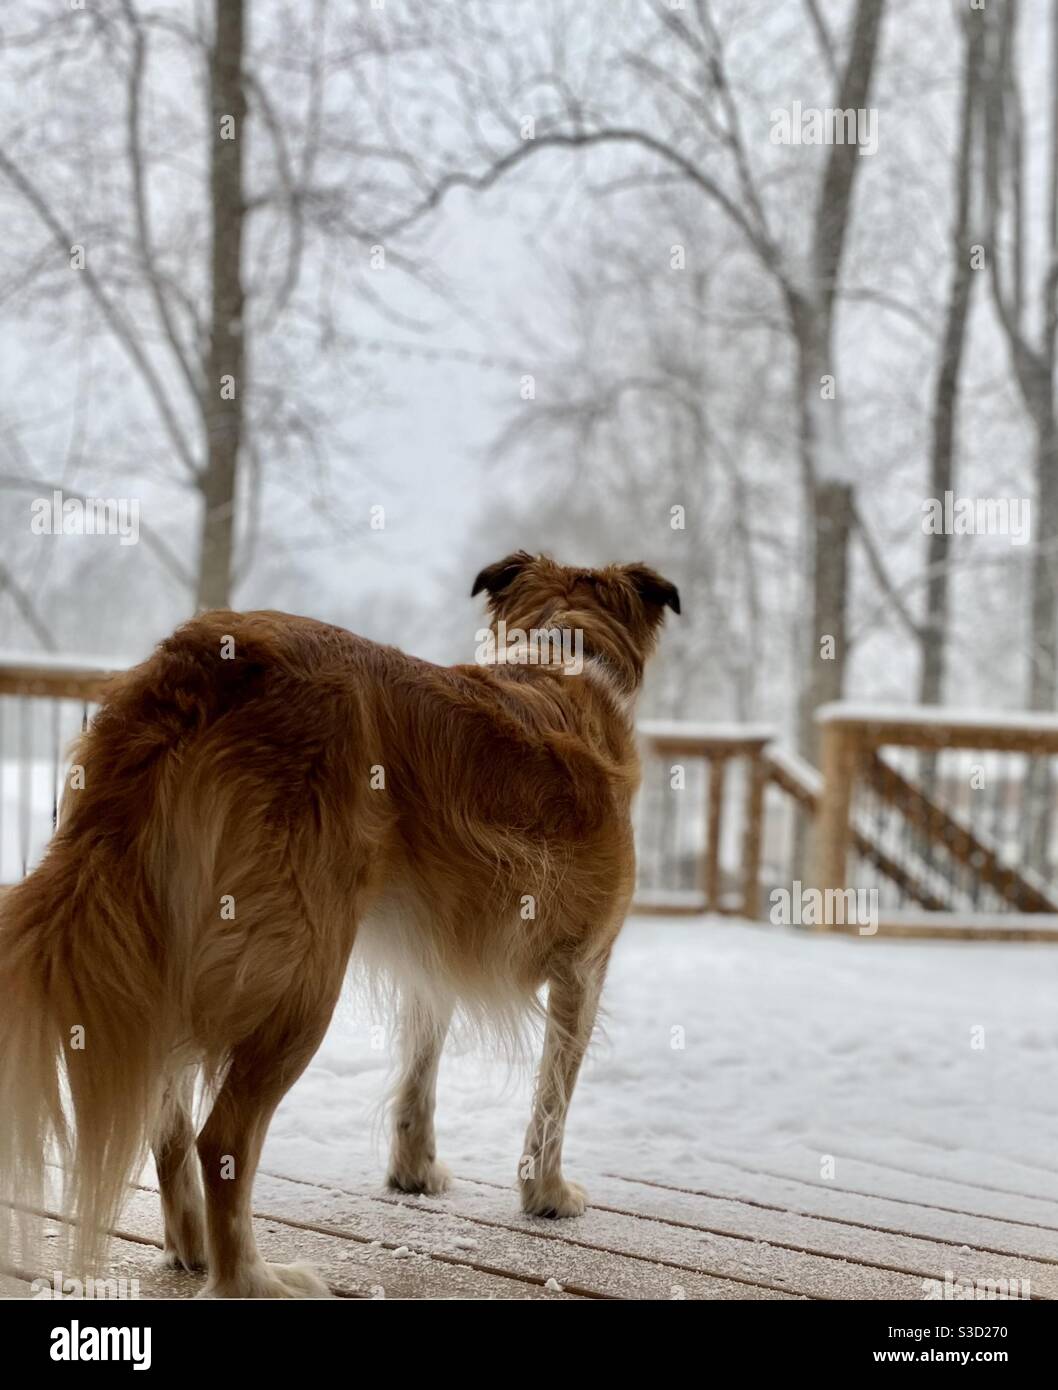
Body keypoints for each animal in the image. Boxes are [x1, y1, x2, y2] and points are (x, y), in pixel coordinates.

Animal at [0, 547, 675, 1295]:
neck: (561, 652)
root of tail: (197, 664)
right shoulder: (585, 965)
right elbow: (553, 1096)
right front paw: (547, 1194)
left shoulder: (430, 956)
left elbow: (419, 1068)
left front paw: (413, 1172)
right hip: (302, 971)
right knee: (221, 1139)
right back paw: (252, 1279)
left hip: (165, 944)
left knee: (169, 1125)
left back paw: (191, 1246)